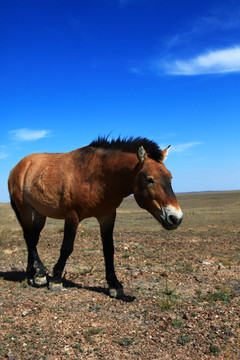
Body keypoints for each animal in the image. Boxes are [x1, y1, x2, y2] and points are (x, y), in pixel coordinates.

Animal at [8, 136, 183, 296]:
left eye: (170, 177)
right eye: (149, 179)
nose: (175, 218)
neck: (97, 174)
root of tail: (18, 167)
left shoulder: (107, 216)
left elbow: (109, 249)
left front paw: (114, 284)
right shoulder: (72, 216)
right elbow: (66, 247)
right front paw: (56, 279)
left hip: (39, 212)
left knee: (33, 238)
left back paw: (31, 275)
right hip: (24, 208)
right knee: (29, 238)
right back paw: (40, 275)